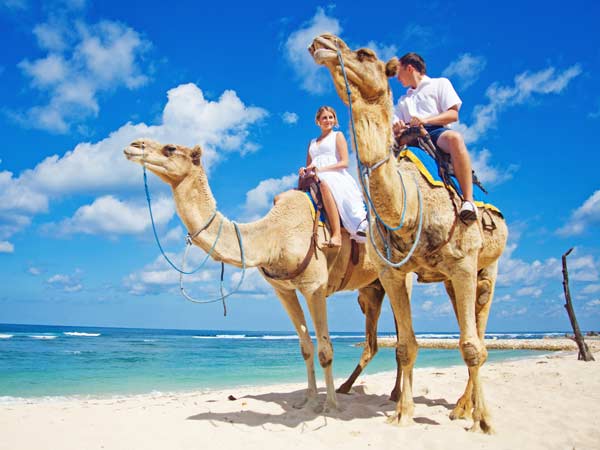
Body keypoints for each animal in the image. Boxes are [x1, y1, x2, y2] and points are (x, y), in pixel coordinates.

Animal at [122, 140, 404, 412]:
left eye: (170, 148)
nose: (133, 145)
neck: (274, 235)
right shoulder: (284, 290)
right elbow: (305, 347)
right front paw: (308, 401)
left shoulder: (314, 286)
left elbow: (326, 349)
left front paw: (331, 407)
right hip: (370, 289)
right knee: (375, 341)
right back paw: (353, 388)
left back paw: (393, 395)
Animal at [312, 33, 508, 434]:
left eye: (365, 54)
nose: (323, 40)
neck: (410, 207)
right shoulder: (392, 273)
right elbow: (405, 345)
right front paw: (402, 413)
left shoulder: (463, 263)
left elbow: (471, 346)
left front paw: (485, 423)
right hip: (448, 281)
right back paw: (459, 407)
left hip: (486, 268)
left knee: (478, 336)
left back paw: (468, 409)